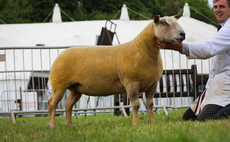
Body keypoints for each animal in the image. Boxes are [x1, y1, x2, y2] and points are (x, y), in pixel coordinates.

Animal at [48, 15, 185, 127]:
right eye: (164, 23)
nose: (183, 34)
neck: (141, 49)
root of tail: (61, 54)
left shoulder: (153, 85)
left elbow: (150, 104)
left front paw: (151, 121)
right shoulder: (131, 83)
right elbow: (136, 105)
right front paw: (136, 123)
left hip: (76, 88)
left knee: (68, 104)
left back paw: (69, 124)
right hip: (59, 84)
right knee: (52, 103)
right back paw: (51, 125)